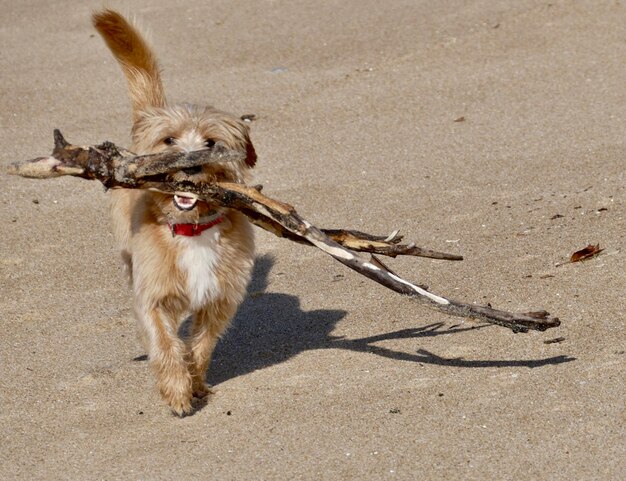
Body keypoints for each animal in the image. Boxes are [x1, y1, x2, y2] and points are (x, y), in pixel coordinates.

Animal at [91, 9, 256, 414]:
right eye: (169, 140)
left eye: (211, 142)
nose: (192, 164)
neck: (191, 229)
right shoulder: (151, 298)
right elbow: (165, 344)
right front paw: (179, 392)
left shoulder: (219, 301)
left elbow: (199, 347)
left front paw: (195, 383)